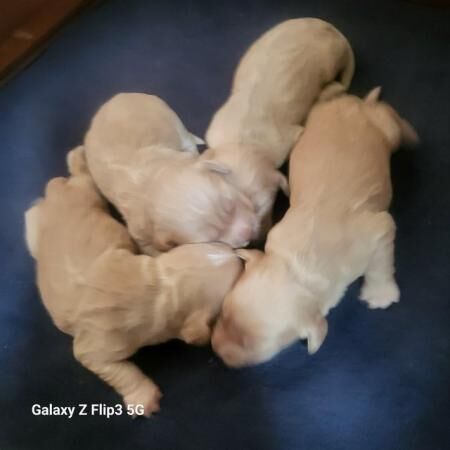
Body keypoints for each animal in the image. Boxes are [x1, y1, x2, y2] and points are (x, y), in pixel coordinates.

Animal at [24, 147, 243, 414]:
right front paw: (144, 397)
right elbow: (112, 367)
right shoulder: (98, 343)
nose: (237, 254)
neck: (159, 289)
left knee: (82, 179)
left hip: (85, 195)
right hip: (34, 231)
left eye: (215, 246)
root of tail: (56, 191)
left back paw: (78, 157)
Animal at [84, 93, 256, 255]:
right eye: (213, 239)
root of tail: (118, 96)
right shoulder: (140, 234)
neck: (153, 179)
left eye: (231, 204)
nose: (248, 233)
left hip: (173, 120)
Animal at [203, 18, 356, 239]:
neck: (243, 142)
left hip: (329, 61)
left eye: (262, 209)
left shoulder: (289, 137)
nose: (257, 240)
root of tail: (334, 30)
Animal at [212, 89, 418, 370]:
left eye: (250, 346)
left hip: (386, 128)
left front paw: (380, 294)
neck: (298, 269)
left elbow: (381, 263)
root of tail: (355, 102)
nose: (215, 350)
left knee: (389, 117)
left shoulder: (376, 232)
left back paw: (411, 134)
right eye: (223, 314)